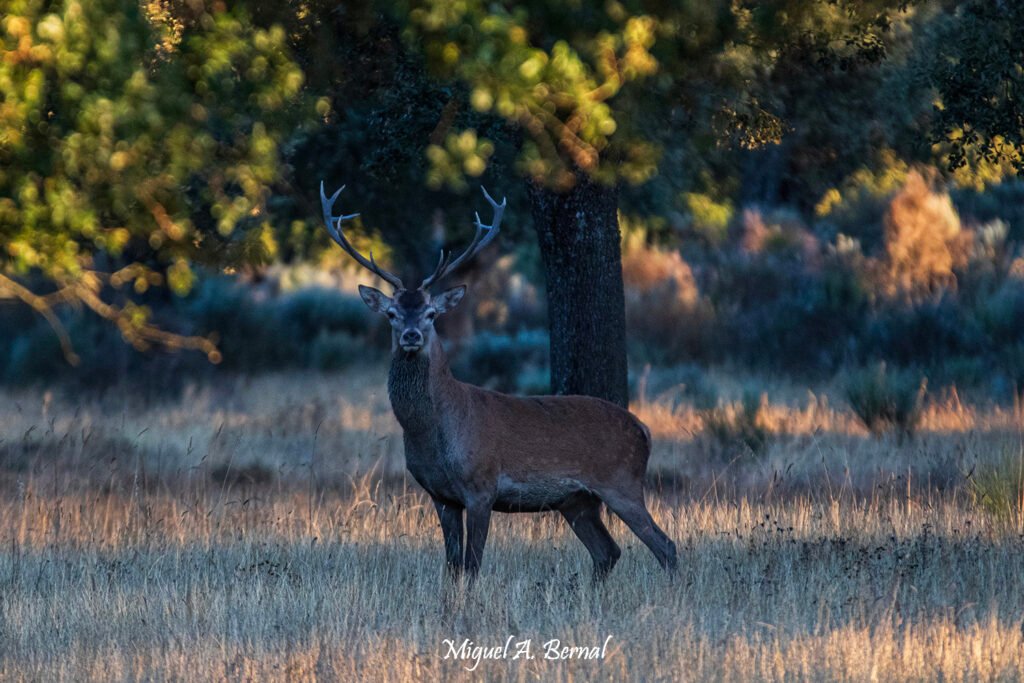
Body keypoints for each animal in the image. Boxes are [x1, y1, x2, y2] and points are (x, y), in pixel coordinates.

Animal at [319, 181, 677, 580]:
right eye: (393, 313)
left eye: (430, 313)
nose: (411, 335)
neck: (436, 432)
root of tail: (643, 430)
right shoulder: (441, 496)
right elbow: (453, 565)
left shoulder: (482, 485)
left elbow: (472, 564)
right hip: (576, 500)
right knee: (608, 551)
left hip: (622, 481)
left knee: (664, 544)